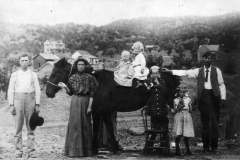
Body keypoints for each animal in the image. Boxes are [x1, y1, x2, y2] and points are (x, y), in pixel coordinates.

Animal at [45, 56, 180, 154]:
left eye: (56, 72)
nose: (47, 92)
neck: (97, 82)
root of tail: (170, 74)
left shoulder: (103, 111)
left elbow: (107, 128)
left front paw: (111, 147)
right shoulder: (98, 111)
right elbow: (100, 128)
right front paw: (101, 148)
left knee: (161, 124)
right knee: (160, 124)